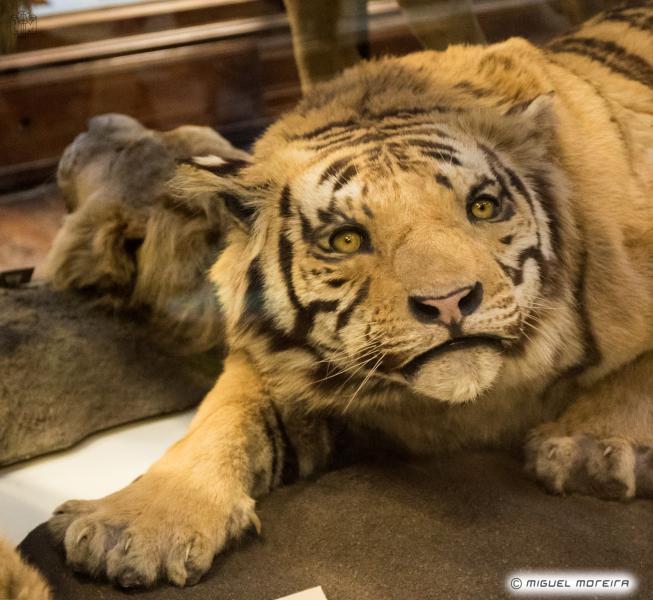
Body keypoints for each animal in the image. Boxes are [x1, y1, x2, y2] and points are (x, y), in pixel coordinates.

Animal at [48, 2, 653, 588]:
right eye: (346, 239)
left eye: (482, 207)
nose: (450, 302)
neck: (458, 408)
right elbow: (221, 417)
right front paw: (135, 526)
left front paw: (587, 450)